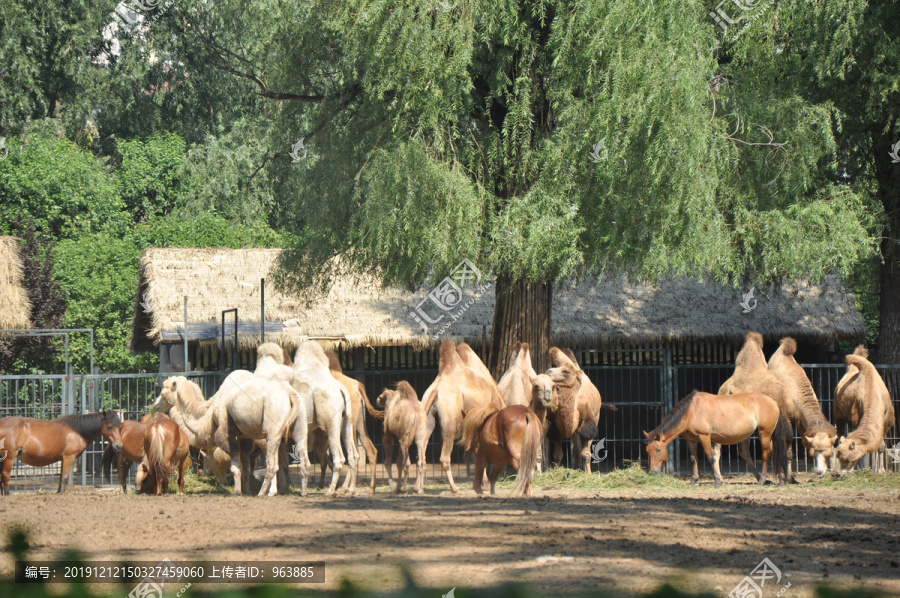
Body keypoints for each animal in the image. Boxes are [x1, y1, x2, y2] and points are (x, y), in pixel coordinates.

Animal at [422, 340, 506, 494]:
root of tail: (436, 389)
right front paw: (484, 484)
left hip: (427, 413)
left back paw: (418, 489)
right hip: (450, 420)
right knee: (444, 457)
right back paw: (455, 489)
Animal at [640, 394, 788, 488]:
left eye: (659, 450)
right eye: (647, 451)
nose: (652, 472)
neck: (690, 411)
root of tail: (774, 402)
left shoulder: (704, 436)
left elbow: (711, 457)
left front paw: (717, 482)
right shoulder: (691, 440)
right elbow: (693, 459)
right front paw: (694, 481)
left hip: (764, 434)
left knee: (766, 455)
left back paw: (762, 480)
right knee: (776, 454)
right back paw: (781, 480)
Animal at [768, 338, 836, 478]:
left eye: (828, 451)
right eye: (813, 451)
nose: (819, 471)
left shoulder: (801, 420)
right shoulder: (787, 416)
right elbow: (788, 445)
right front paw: (789, 477)